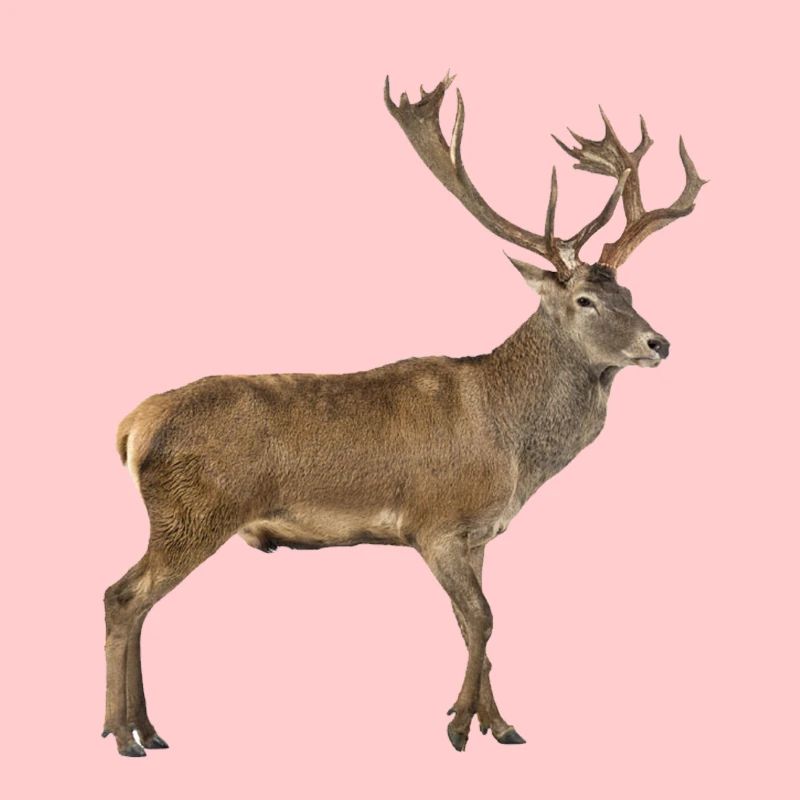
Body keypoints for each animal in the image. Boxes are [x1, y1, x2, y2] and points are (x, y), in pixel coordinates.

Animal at [103, 72, 705, 756]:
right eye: (584, 300)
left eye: (627, 292)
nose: (659, 343)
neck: (513, 448)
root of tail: (132, 425)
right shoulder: (434, 520)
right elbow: (482, 619)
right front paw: (461, 726)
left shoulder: (478, 533)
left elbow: (476, 623)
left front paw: (499, 724)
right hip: (194, 512)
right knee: (122, 596)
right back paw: (123, 733)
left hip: (179, 517)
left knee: (137, 602)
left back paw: (147, 729)